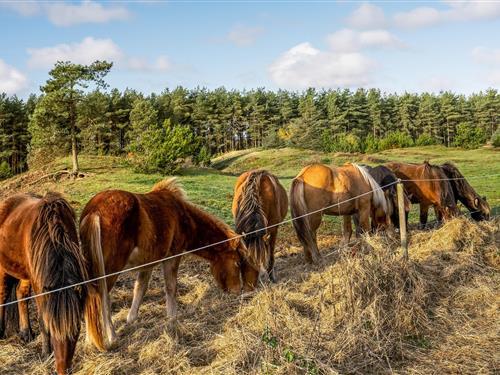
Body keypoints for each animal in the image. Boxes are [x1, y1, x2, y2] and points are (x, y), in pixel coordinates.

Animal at [0, 194, 87, 375]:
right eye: (53, 331)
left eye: (76, 332)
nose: (62, 370)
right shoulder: (40, 286)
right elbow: (42, 320)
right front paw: (47, 353)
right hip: (4, 268)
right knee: (3, 295)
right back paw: (1, 330)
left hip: (26, 273)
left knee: (21, 295)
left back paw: (26, 333)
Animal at [79, 178, 258, 352]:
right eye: (237, 262)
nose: (237, 291)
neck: (183, 217)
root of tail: (94, 210)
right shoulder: (172, 256)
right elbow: (171, 287)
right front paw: (173, 318)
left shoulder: (148, 262)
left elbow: (140, 288)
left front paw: (132, 319)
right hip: (110, 270)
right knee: (100, 297)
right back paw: (110, 338)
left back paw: (91, 340)